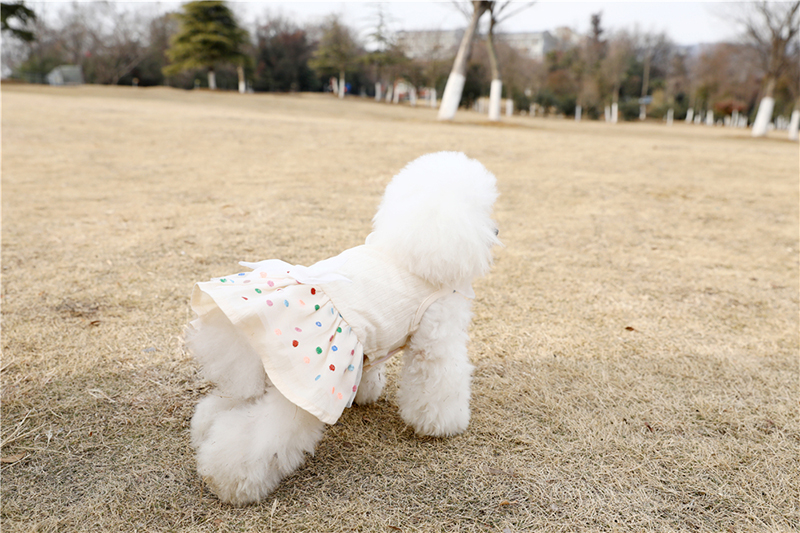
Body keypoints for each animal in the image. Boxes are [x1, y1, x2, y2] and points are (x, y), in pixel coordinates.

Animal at [186, 151, 500, 505]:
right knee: (258, 435)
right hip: (304, 387)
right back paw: (228, 480)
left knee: (227, 406)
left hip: (270, 377)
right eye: (483, 213)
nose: (497, 230)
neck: (407, 252)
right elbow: (440, 384)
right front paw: (445, 425)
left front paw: (366, 394)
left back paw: (204, 430)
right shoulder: (435, 340)